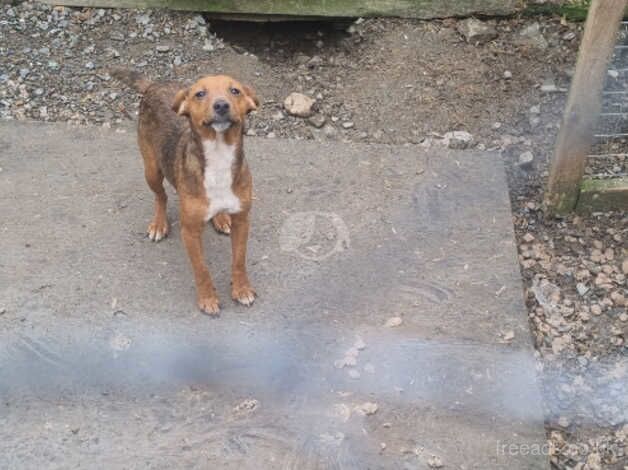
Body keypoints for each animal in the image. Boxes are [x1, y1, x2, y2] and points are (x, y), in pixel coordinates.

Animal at [111, 69, 260, 316]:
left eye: (235, 90)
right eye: (200, 94)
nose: (221, 105)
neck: (219, 156)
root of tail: (155, 84)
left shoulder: (242, 221)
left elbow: (239, 261)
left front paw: (242, 289)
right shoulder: (189, 232)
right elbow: (201, 269)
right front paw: (207, 298)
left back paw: (220, 218)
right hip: (152, 169)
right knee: (161, 196)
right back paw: (159, 223)